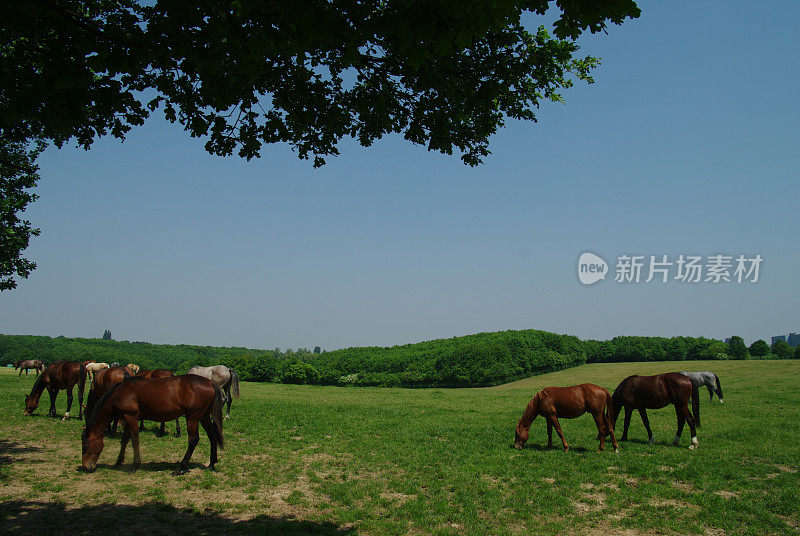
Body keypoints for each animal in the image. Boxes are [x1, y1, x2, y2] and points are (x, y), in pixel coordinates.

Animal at [81, 374, 223, 476]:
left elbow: (134, 440)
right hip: (203, 417)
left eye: (86, 446)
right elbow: (124, 440)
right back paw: (211, 464)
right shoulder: (127, 418)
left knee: (193, 439)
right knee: (212, 436)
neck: (120, 393)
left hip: (193, 417)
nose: (85, 467)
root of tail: (210, 383)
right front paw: (118, 461)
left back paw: (180, 468)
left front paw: (135, 465)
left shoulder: (131, 417)